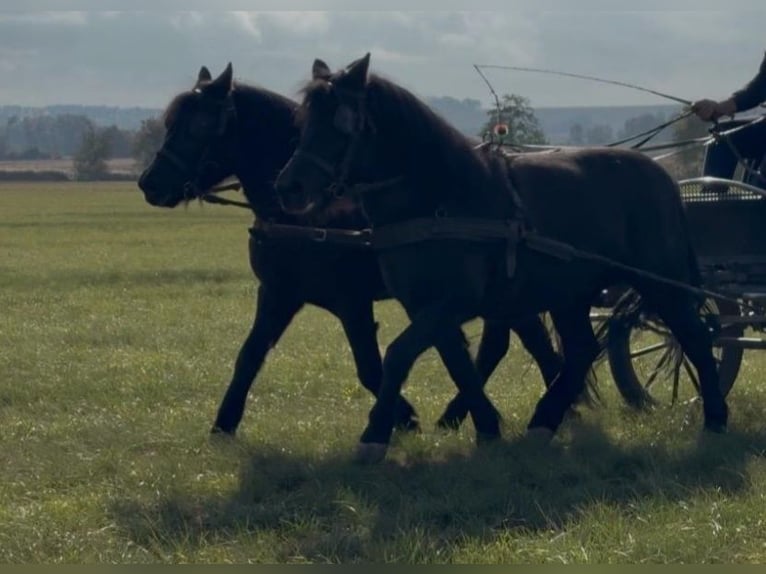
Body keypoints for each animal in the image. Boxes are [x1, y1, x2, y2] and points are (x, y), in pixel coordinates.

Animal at [137, 63, 564, 436]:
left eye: (200, 125)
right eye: (170, 123)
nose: (149, 183)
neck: (308, 216)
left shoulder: (352, 302)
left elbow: (370, 368)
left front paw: (404, 417)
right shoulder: (278, 293)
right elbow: (249, 356)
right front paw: (223, 425)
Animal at [274, 54, 728, 463]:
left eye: (341, 123)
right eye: (304, 122)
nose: (289, 187)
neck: (440, 199)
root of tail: (662, 175)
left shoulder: (452, 302)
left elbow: (400, 355)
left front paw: (374, 437)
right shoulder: (427, 306)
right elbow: (458, 362)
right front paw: (486, 427)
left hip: (661, 281)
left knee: (694, 338)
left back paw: (715, 422)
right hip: (569, 293)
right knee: (582, 349)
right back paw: (543, 421)